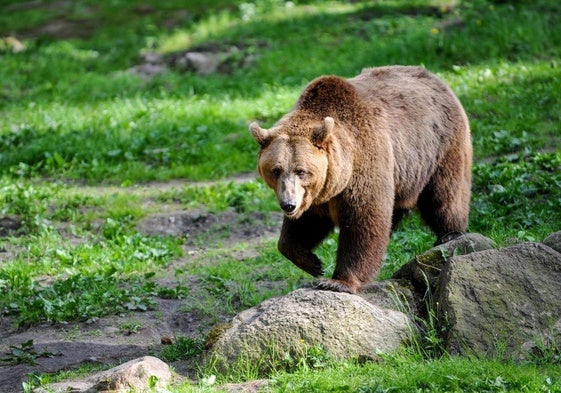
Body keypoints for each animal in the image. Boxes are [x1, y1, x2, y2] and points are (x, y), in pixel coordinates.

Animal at [248, 65, 468, 290]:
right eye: (276, 170)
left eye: (301, 170)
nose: (288, 204)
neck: (338, 176)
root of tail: (433, 77)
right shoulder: (316, 195)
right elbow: (304, 226)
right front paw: (313, 263)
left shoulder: (364, 163)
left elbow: (363, 221)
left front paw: (337, 281)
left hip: (439, 147)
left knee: (444, 194)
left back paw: (450, 233)